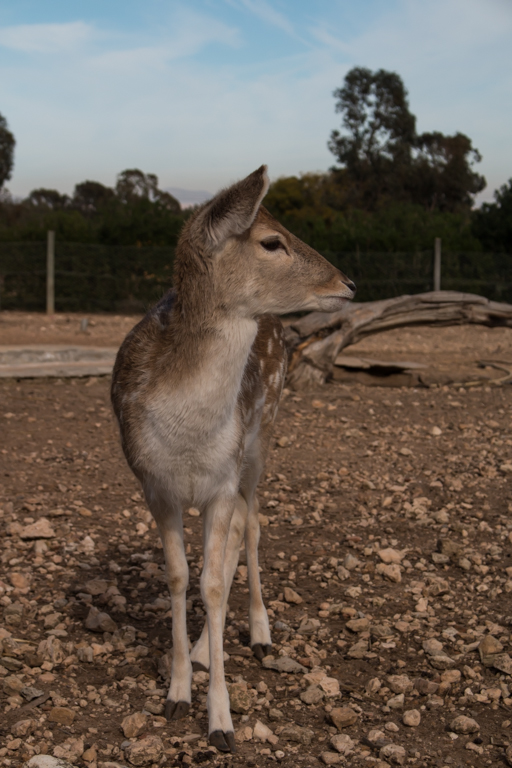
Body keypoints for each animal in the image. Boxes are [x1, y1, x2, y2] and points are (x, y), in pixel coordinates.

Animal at [110, 166, 354, 752]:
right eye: (271, 242)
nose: (348, 285)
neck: (188, 432)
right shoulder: (155, 486)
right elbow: (181, 578)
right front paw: (177, 693)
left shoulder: (221, 481)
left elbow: (216, 583)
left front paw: (221, 722)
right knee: (236, 535)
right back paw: (203, 650)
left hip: (260, 438)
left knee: (255, 521)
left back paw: (261, 634)